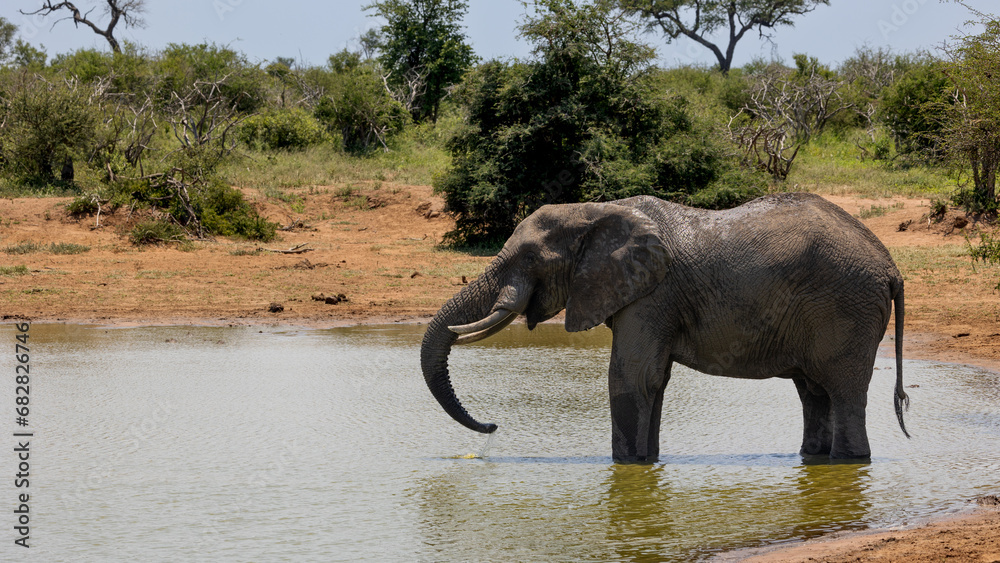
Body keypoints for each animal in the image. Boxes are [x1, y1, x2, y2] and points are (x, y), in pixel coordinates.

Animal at [420, 192, 910, 462]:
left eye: (528, 258)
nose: (493, 427)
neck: (597, 211)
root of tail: (890, 266)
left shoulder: (653, 295)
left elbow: (630, 377)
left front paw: (626, 466)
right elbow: (653, 380)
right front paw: (647, 462)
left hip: (846, 307)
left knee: (842, 389)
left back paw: (849, 460)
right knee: (814, 391)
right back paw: (814, 458)